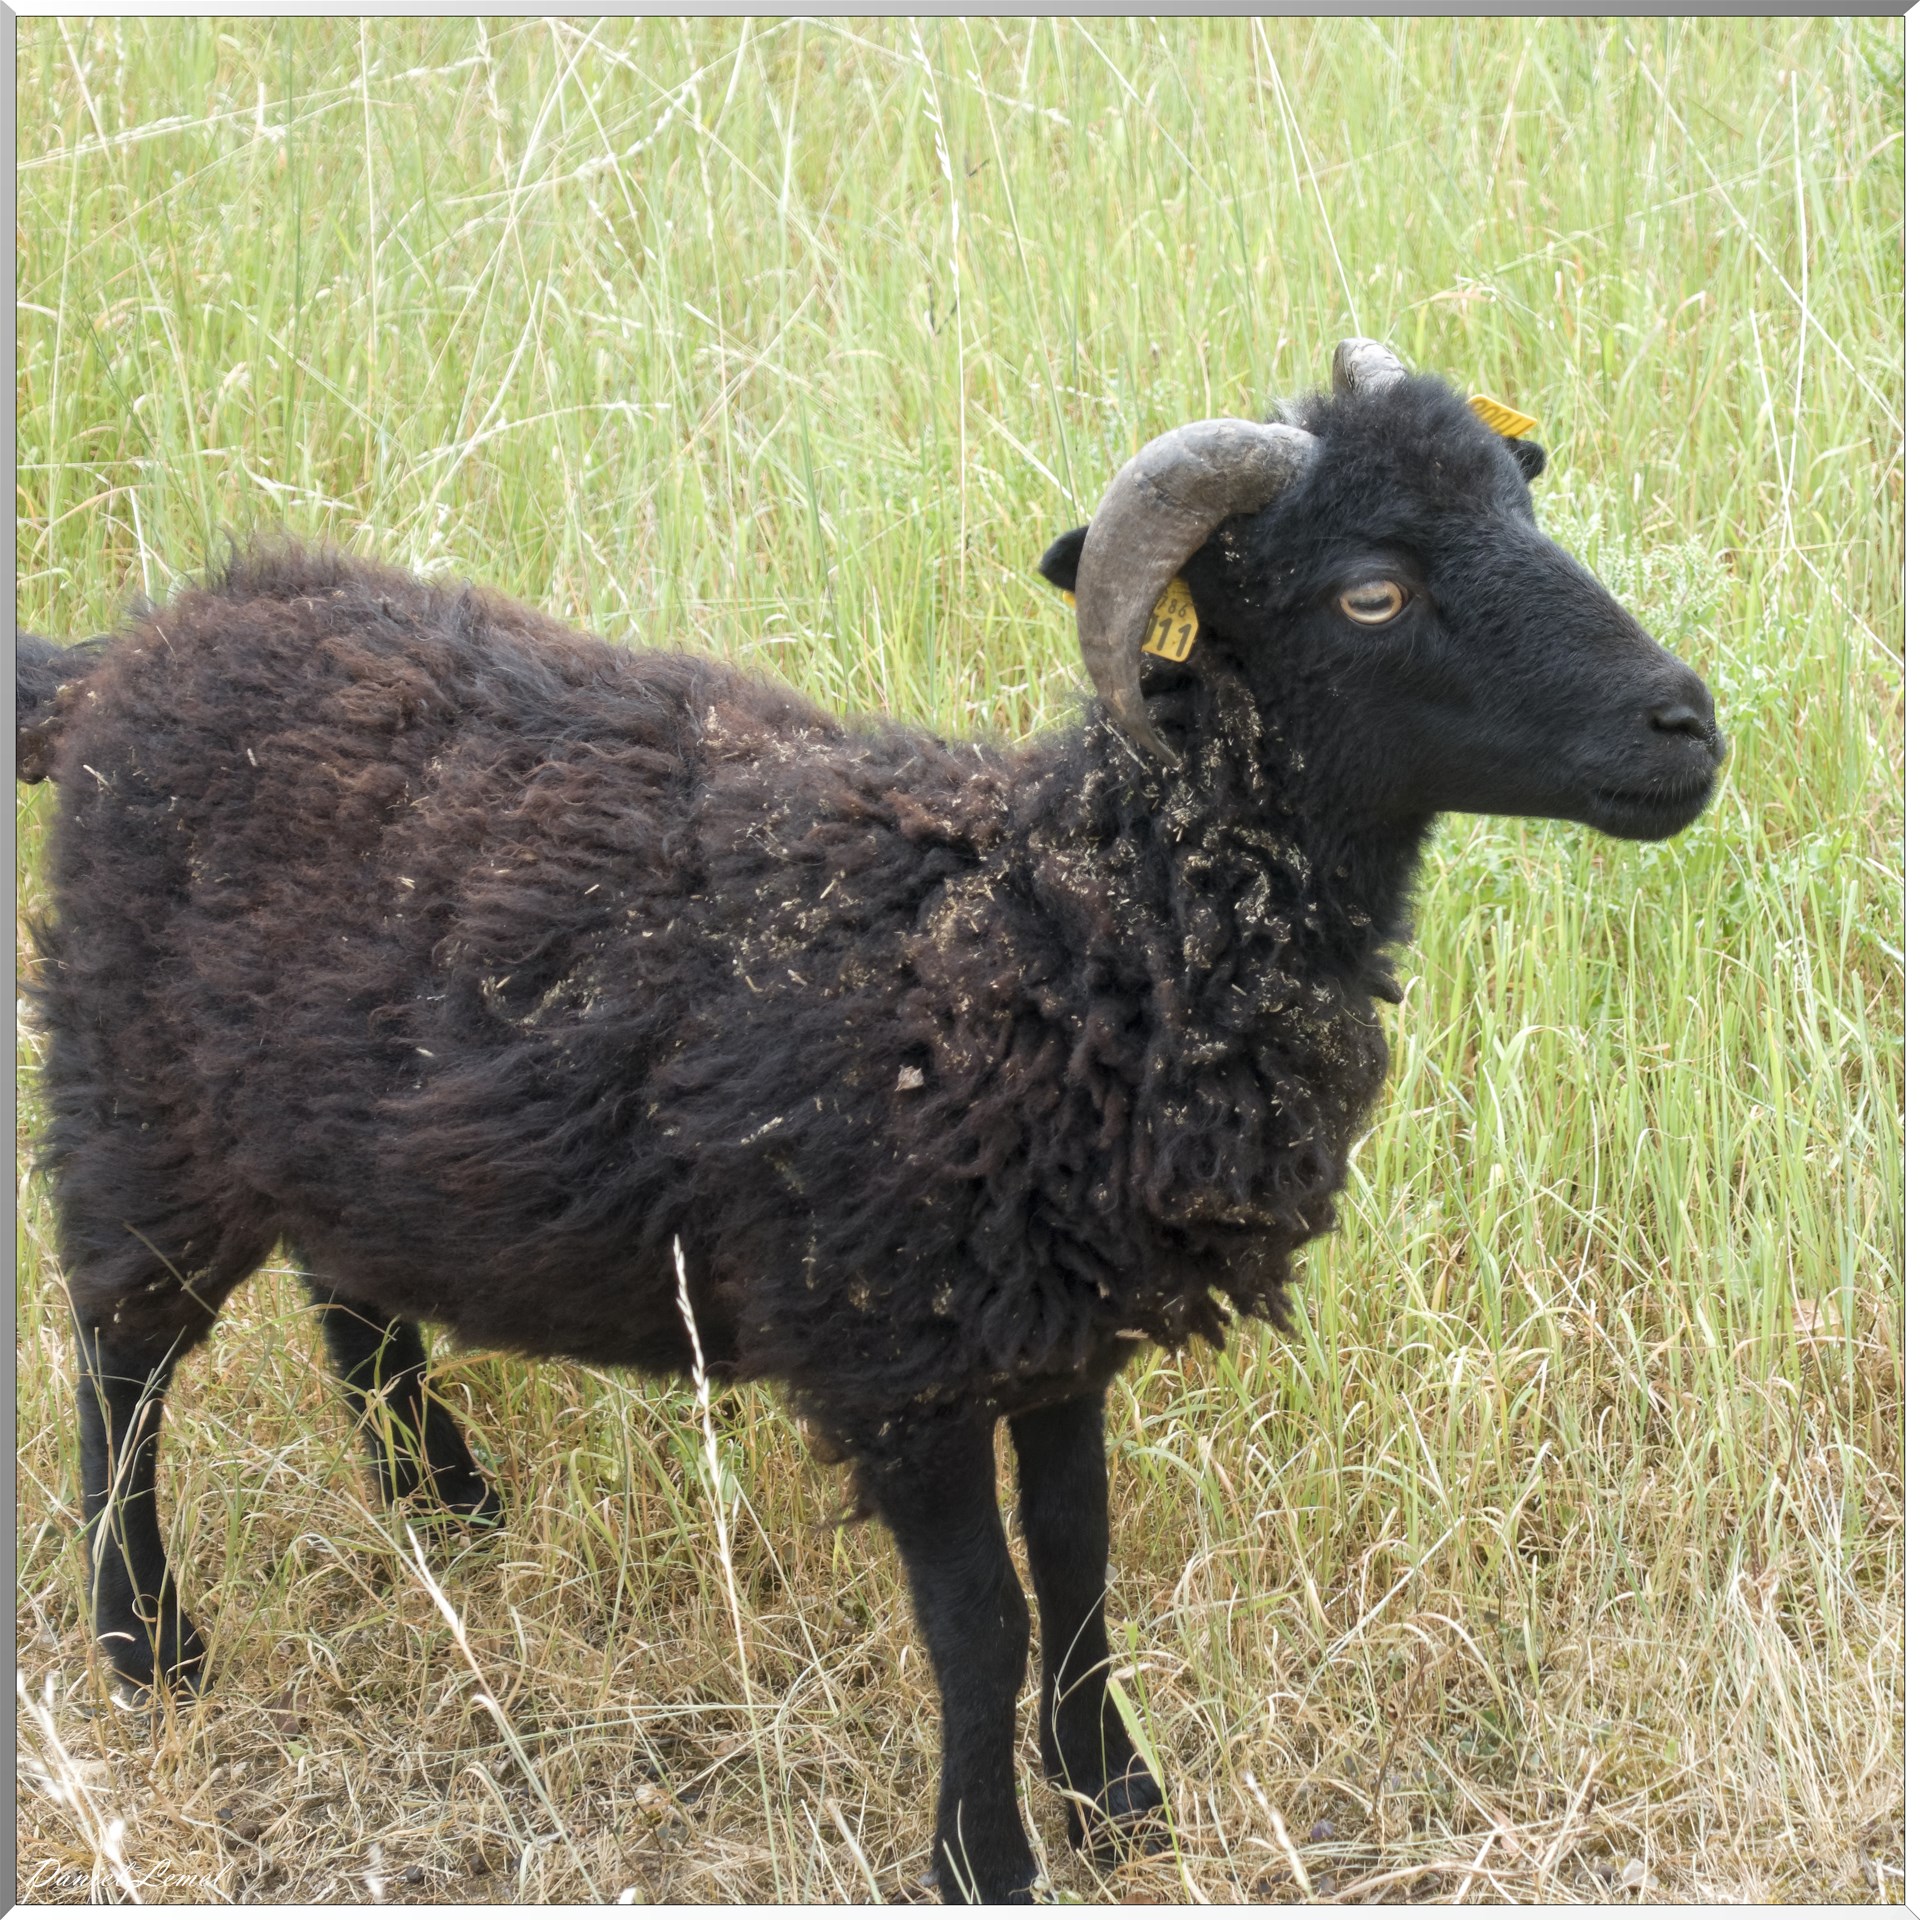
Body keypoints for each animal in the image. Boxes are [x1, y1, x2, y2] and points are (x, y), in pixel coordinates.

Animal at [17, 338, 1721, 1903]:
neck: (1079, 929)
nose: (1688, 728)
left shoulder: (1057, 1332)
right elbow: (982, 1620)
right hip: (136, 1103)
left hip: (332, 1126)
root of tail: (129, 652)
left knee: (348, 1292)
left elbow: (1083, 1564)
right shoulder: (901, 1355)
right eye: (1372, 593)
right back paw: (148, 1645)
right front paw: (986, 1857)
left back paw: (448, 1507)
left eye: (1519, 498)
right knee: (120, 1367)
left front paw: (1120, 1804)